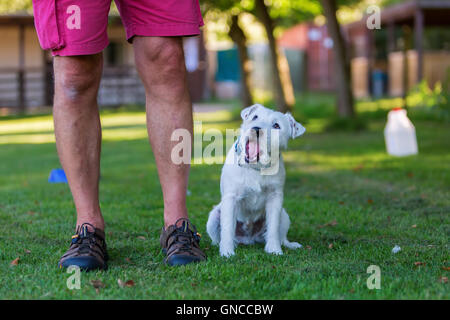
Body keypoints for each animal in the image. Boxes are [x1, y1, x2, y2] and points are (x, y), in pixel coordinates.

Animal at [207, 104, 306, 256]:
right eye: (255, 117)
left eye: (276, 125)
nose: (256, 129)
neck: (256, 167)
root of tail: (248, 239)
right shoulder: (230, 199)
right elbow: (227, 228)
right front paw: (227, 252)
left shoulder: (275, 198)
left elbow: (273, 227)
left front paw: (274, 249)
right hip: (213, 217)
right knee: (218, 236)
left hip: (284, 216)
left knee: (281, 236)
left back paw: (290, 245)